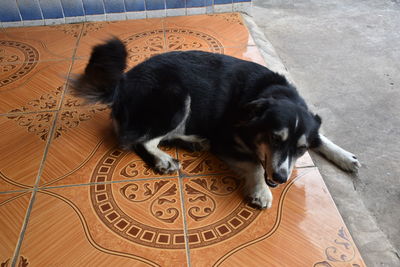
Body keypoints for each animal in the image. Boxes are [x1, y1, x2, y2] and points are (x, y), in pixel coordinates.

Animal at [70, 38, 360, 209]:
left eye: (301, 150)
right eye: (274, 138)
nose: (280, 177)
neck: (269, 93)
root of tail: (122, 84)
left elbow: (321, 137)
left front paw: (345, 156)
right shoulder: (225, 140)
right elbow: (256, 164)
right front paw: (262, 191)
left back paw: (193, 142)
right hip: (176, 97)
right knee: (139, 140)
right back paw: (163, 159)